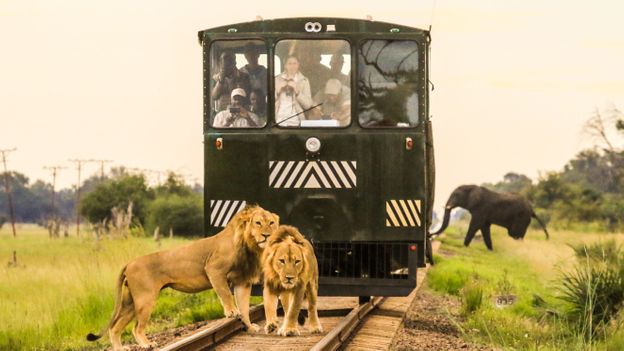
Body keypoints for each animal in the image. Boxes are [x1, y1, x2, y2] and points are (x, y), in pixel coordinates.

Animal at [85, 206, 278, 351]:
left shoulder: (242, 282)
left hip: (130, 302)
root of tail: (129, 263)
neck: (248, 244)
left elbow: (245, 308)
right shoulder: (214, 269)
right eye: (258, 223)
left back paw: (121, 348)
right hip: (145, 299)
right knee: (136, 328)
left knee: (115, 327)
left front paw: (250, 326)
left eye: (271, 223)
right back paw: (147, 344)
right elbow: (225, 293)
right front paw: (231, 312)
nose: (267, 235)